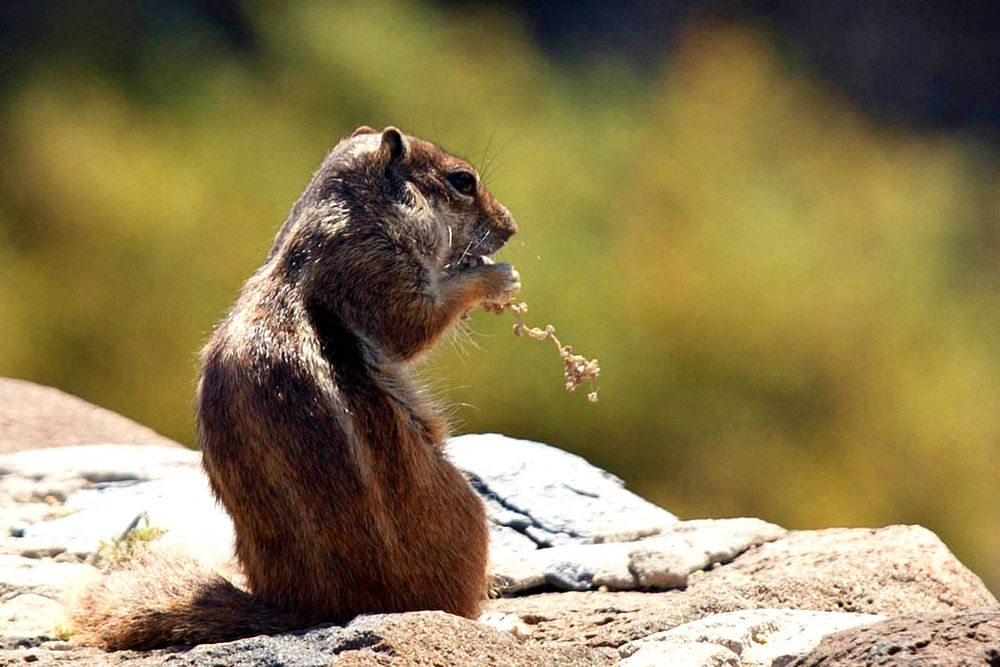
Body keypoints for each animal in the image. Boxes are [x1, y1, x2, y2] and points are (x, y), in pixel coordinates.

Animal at [74, 126, 520, 652]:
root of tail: (307, 606)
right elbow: (412, 325)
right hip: (466, 512)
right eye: (462, 180)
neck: (357, 210)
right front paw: (495, 276)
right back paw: (498, 621)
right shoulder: (373, 268)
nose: (511, 227)